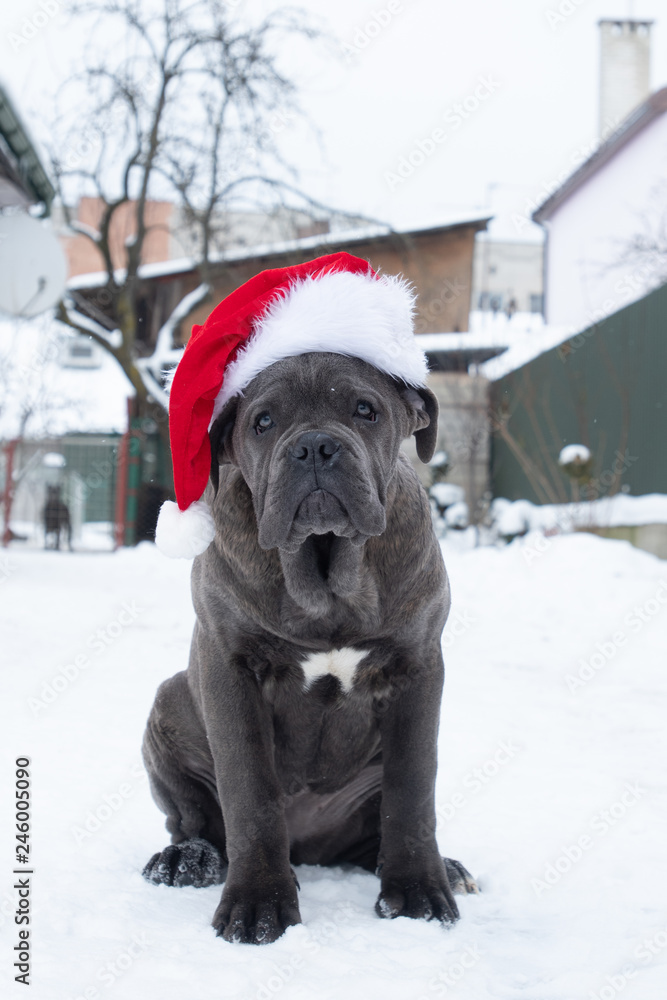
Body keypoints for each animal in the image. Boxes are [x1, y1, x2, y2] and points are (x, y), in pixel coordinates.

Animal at [142, 354, 480, 944]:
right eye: (263, 422)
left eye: (365, 410)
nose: (315, 446)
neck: (326, 579)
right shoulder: (229, 667)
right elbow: (250, 793)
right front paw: (257, 905)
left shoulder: (417, 668)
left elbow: (413, 789)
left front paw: (418, 891)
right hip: (168, 704)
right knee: (194, 819)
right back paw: (186, 858)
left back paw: (442, 868)